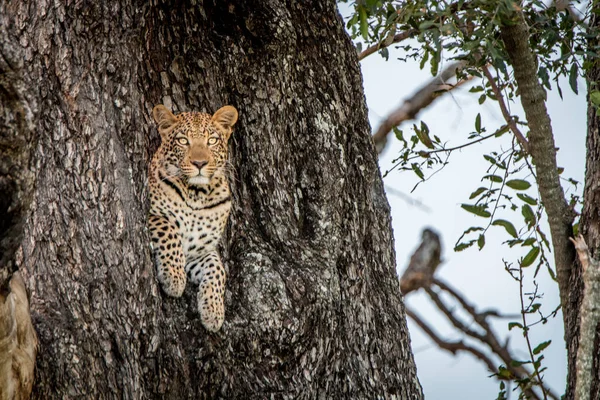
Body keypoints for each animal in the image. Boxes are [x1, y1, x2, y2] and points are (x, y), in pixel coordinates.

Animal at [146, 102, 238, 332]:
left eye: (212, 141)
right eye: (183, 141)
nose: (199, 163)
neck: (197, 195)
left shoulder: (199, 252)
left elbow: (218, 269)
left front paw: (213, 312)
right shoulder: (152, 215)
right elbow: (169, 230)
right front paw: (174, 279)